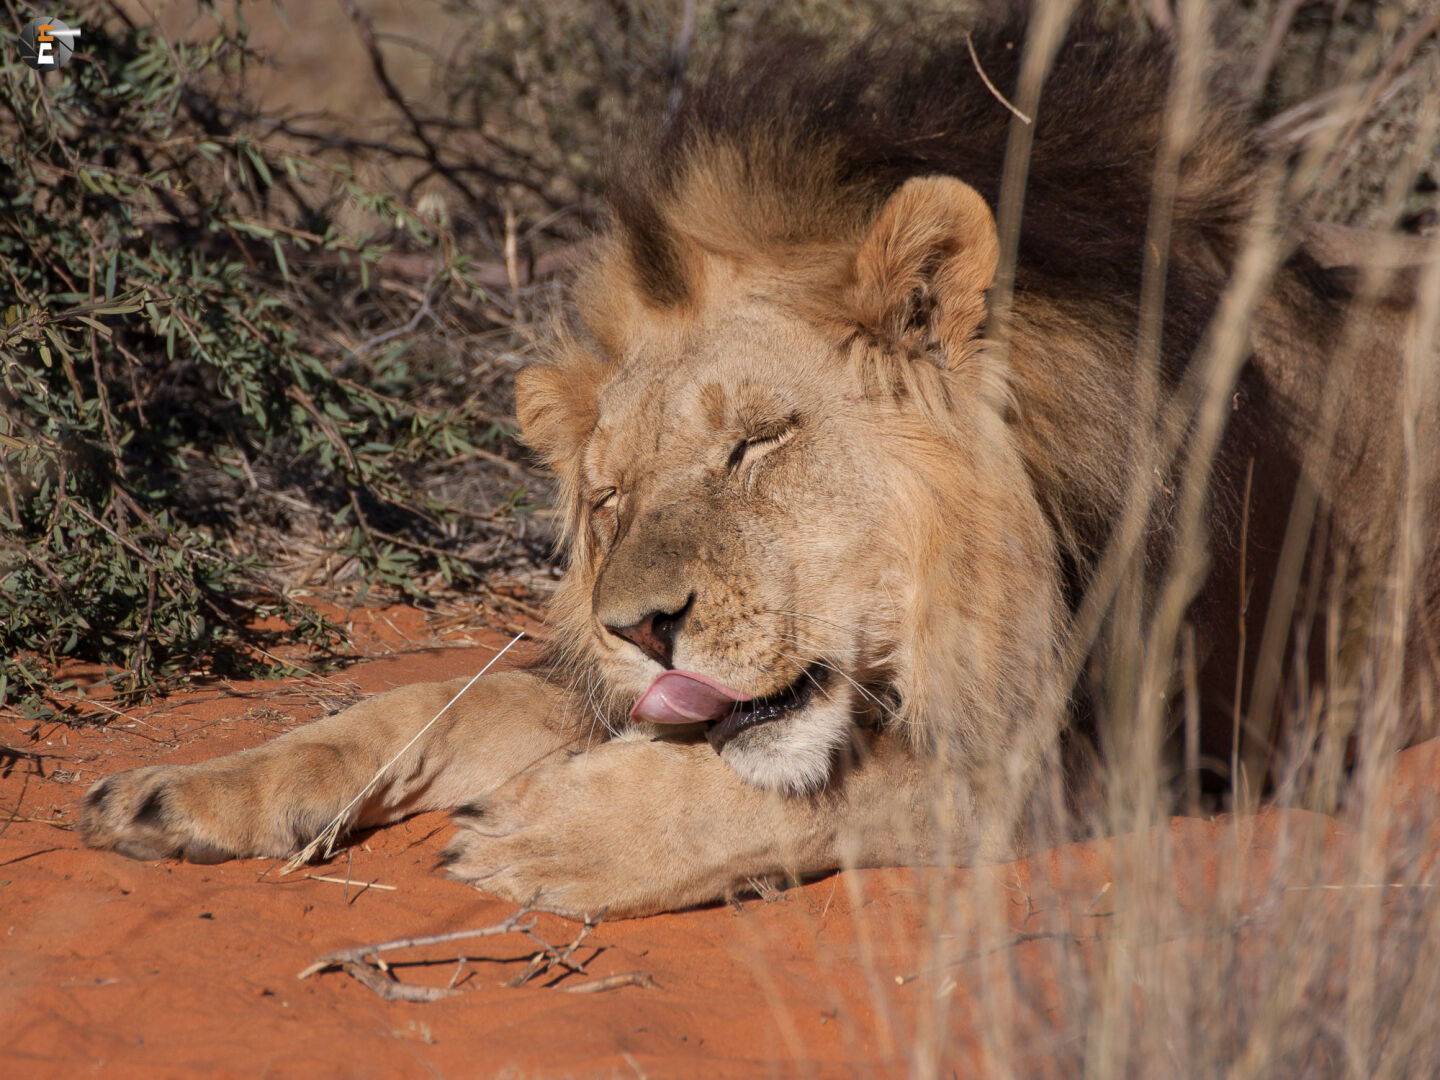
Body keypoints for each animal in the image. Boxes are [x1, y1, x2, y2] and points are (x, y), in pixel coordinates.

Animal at [79, 15, 1438, 917]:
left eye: (757, 443)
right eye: (609, 500)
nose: (639, 629)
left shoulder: (1175, 748)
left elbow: (859, 779)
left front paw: (549, 832)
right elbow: (443, 700)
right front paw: (186, 792)